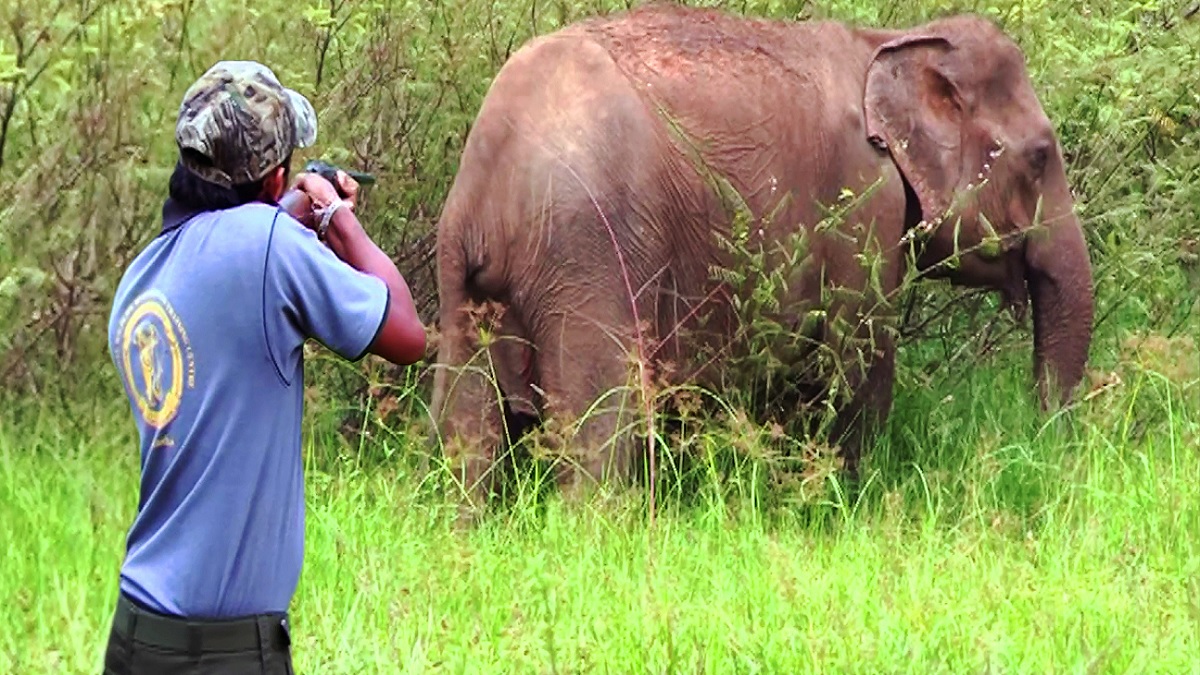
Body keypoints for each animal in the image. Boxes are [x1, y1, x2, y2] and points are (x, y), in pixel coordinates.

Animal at [428, 2, 1095, 510]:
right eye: (1040, 156)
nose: (1045, 444)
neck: (886, 42)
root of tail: (492, 176)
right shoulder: (863, 204)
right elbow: (856, 366)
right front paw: (849, 501)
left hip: (463, 276)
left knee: (467, 423)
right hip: (585, 255)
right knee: (598, 419)